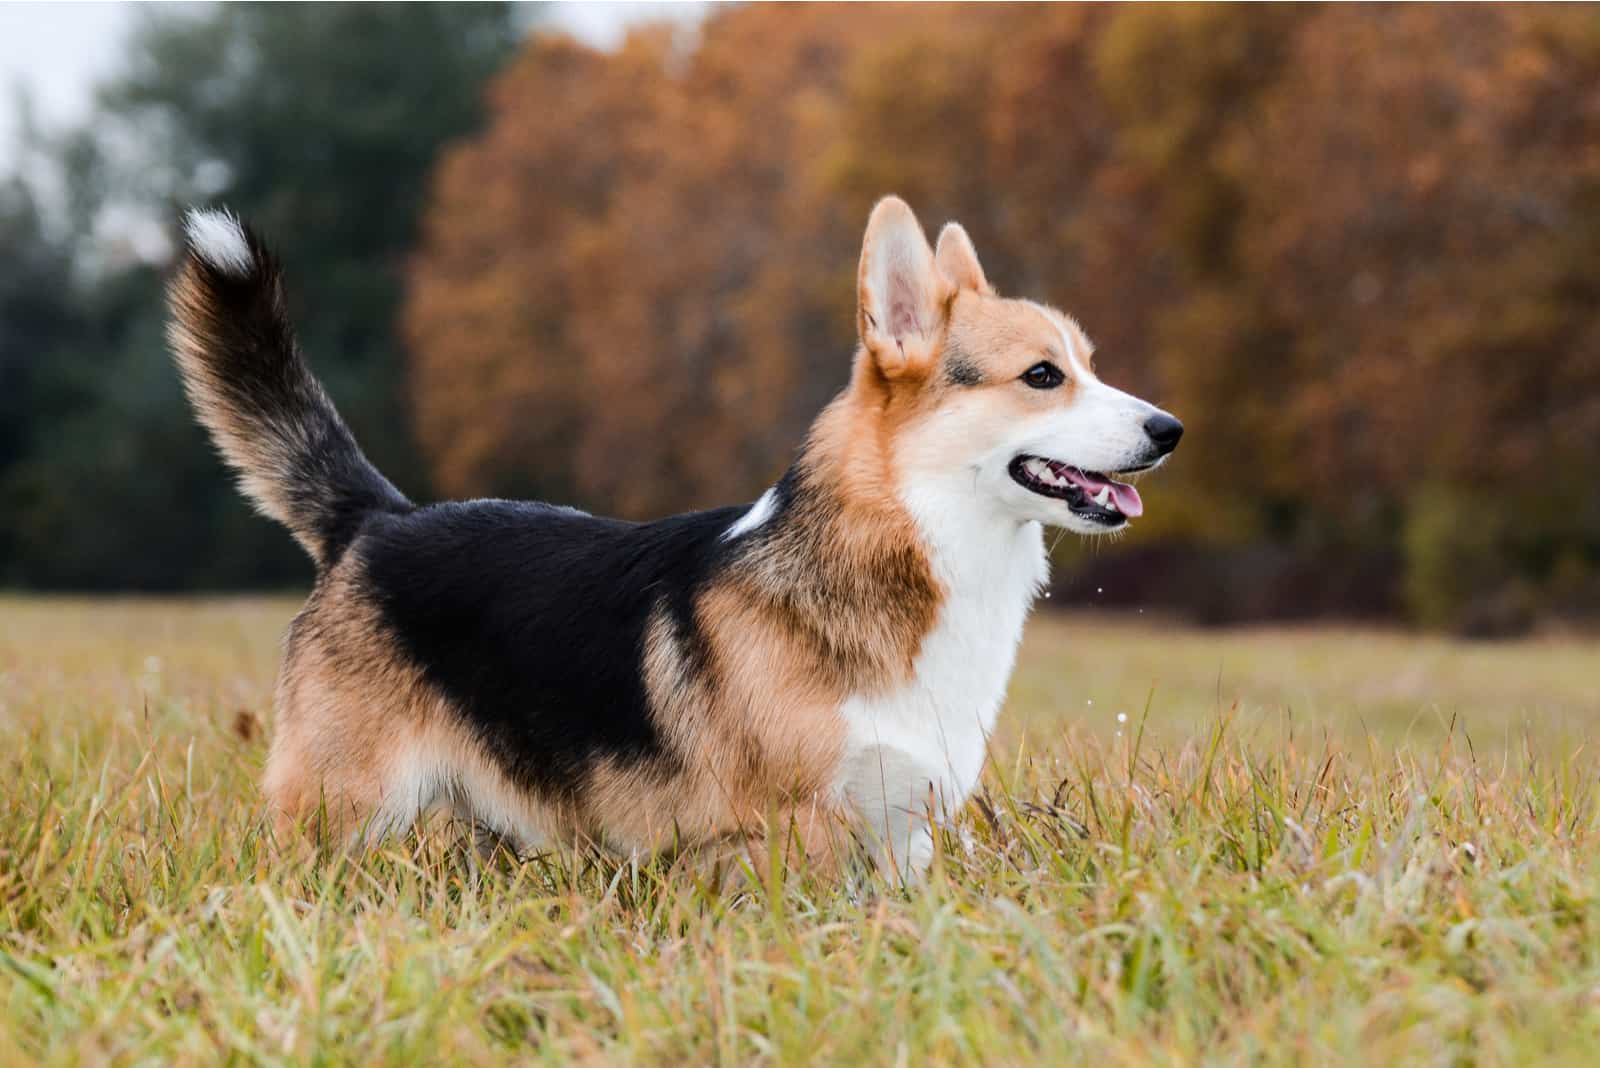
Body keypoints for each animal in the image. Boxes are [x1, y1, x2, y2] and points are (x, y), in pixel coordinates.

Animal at [168, 195, 1184, 882]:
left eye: (1090, 364)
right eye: (1043, 376)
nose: (1171, 429)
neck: (909, 543)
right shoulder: (797, 835)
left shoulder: (901, 840)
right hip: (338, 814)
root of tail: (377, 518)